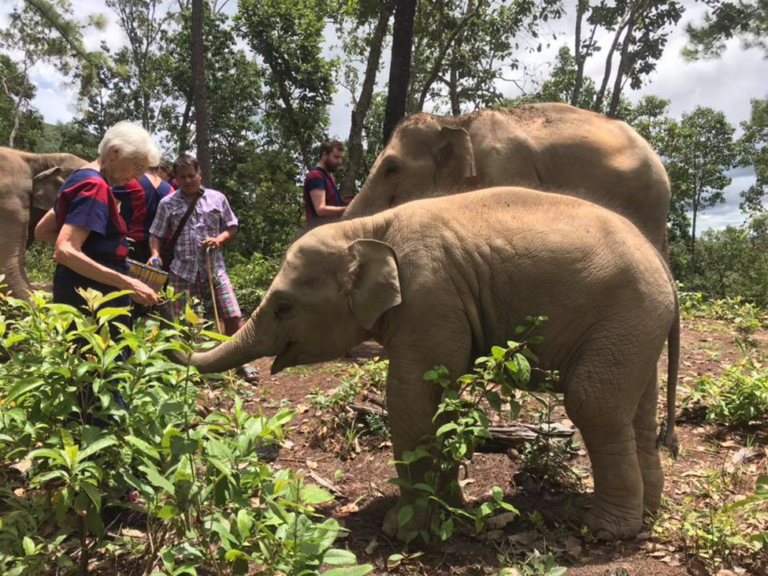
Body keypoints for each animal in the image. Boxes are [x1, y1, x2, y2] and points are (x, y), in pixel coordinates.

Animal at [166, 187, 680, 544]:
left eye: (284, 308)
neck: (370, 227)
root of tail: (666, 271)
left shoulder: (430, 296)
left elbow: (409, 398)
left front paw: (403, 532)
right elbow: (442, 396)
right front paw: (450, 509)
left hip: (625, 319)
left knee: (593, 400)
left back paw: (603, 530)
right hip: (636, 331)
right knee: (637, 411)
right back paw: (648, 515)